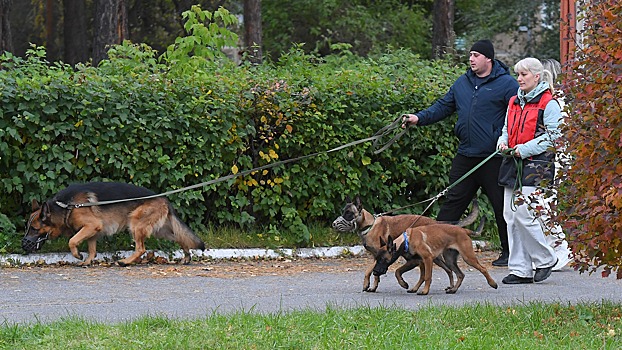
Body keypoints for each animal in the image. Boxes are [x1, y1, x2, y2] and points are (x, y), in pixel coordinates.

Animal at [23, 182, 206, 266]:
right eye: (28, 228)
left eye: (34, 229)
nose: (23, 245)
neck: (65, 207)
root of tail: (163, 199)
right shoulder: (92, 231)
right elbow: (92, 249)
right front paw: (87, 261)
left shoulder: (91, 226)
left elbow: (72, 241)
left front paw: (77, 255)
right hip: (161, 231)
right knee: (181, 238)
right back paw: (187, 256)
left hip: (135, 224)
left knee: (141, 249)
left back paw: (125, 262)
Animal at [332, 197, 482, 292]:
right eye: (343, 212)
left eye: (349, 213)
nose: (333, 224)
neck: (370, 225)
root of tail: (438, 223)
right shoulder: (376, 257)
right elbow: (373, 272)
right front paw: (372, 286)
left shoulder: (380, 257)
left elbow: (371, 271)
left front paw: (369, 284)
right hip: (436, 258)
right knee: (449, 270)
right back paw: (450, 287)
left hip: (431, 258)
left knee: (445, 271)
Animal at [372, 223, 500, 294]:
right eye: (376, 259)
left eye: (382, 259)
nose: (375, 272)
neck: (406, 240)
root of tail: (463, 230)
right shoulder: (417, 261)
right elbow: (401, 272)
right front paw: (406, 285)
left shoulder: (427, 259)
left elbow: (427, 277)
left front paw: (424, 291)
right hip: (448, 260)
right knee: (459, 274)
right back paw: (453, 290)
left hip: (468, 257)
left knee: (483, 268)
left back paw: (492, 283)